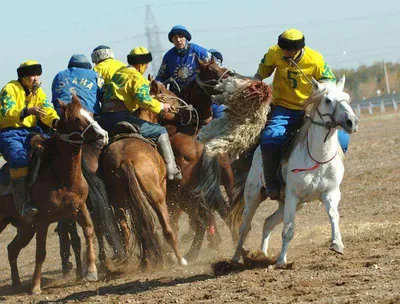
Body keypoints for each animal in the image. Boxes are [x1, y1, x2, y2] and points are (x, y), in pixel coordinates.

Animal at [0, 95, 109, 294]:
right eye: (77, 119)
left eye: (91, 114)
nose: (103, 136)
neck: (62, 177)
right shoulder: (43, 221)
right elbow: (41, 253)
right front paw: (35, 286)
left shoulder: (79, 209)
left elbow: (88, 231)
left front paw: (91, 271)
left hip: (26, 228)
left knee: (12, 249)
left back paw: (17, 283)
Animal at [231, 75, 360, 266]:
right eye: (328, 100)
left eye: (347, 98)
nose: (352, 122)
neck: (318, 158)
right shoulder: (293, 195)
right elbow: (288, 230)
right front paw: (281, 261)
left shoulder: (330, 193)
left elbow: (334, 216)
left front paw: (337, 244)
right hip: (253, 196)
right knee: (245, 227)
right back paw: (235, 258)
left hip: (291, 203)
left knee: (268, 222)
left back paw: (262, 254)